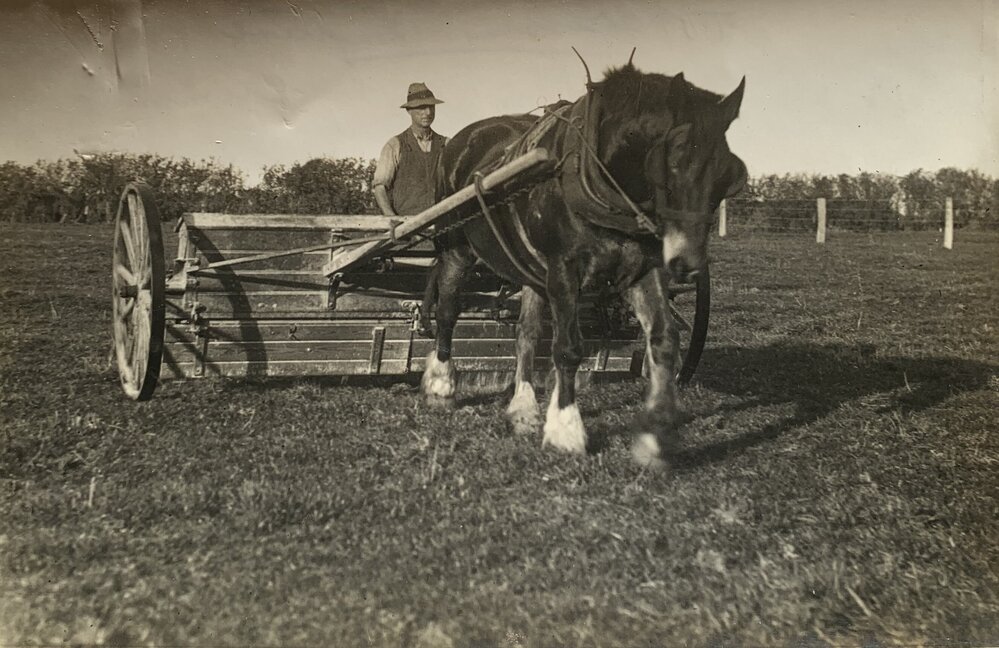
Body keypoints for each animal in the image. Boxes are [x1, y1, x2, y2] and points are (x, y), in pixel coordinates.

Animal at [420, 62, 748, 468]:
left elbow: (664, 339)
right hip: (456, 250)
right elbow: (568, 348)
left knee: (526, 333)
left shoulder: (643, 268)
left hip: (529, 267)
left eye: (731, 177)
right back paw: (441, 383)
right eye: (672, 162)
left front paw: (655, 434)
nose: (687, 264)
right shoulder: (564, 269)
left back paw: (523, 406)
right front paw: (565, 429)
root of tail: (463, 139)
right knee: (447, 311)